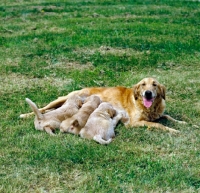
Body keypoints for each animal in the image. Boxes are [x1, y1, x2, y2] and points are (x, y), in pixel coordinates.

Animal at [20, 77, 186, 133]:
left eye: (155, 85)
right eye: (143, 85)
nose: (148, 93)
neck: (149, 108)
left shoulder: (159, 113)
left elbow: (168, 116)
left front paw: (181, 123)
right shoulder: (134, 122)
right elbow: (158, 124)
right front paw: (173, 130)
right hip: (61, 99)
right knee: (44, 108)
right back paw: (24, 115)